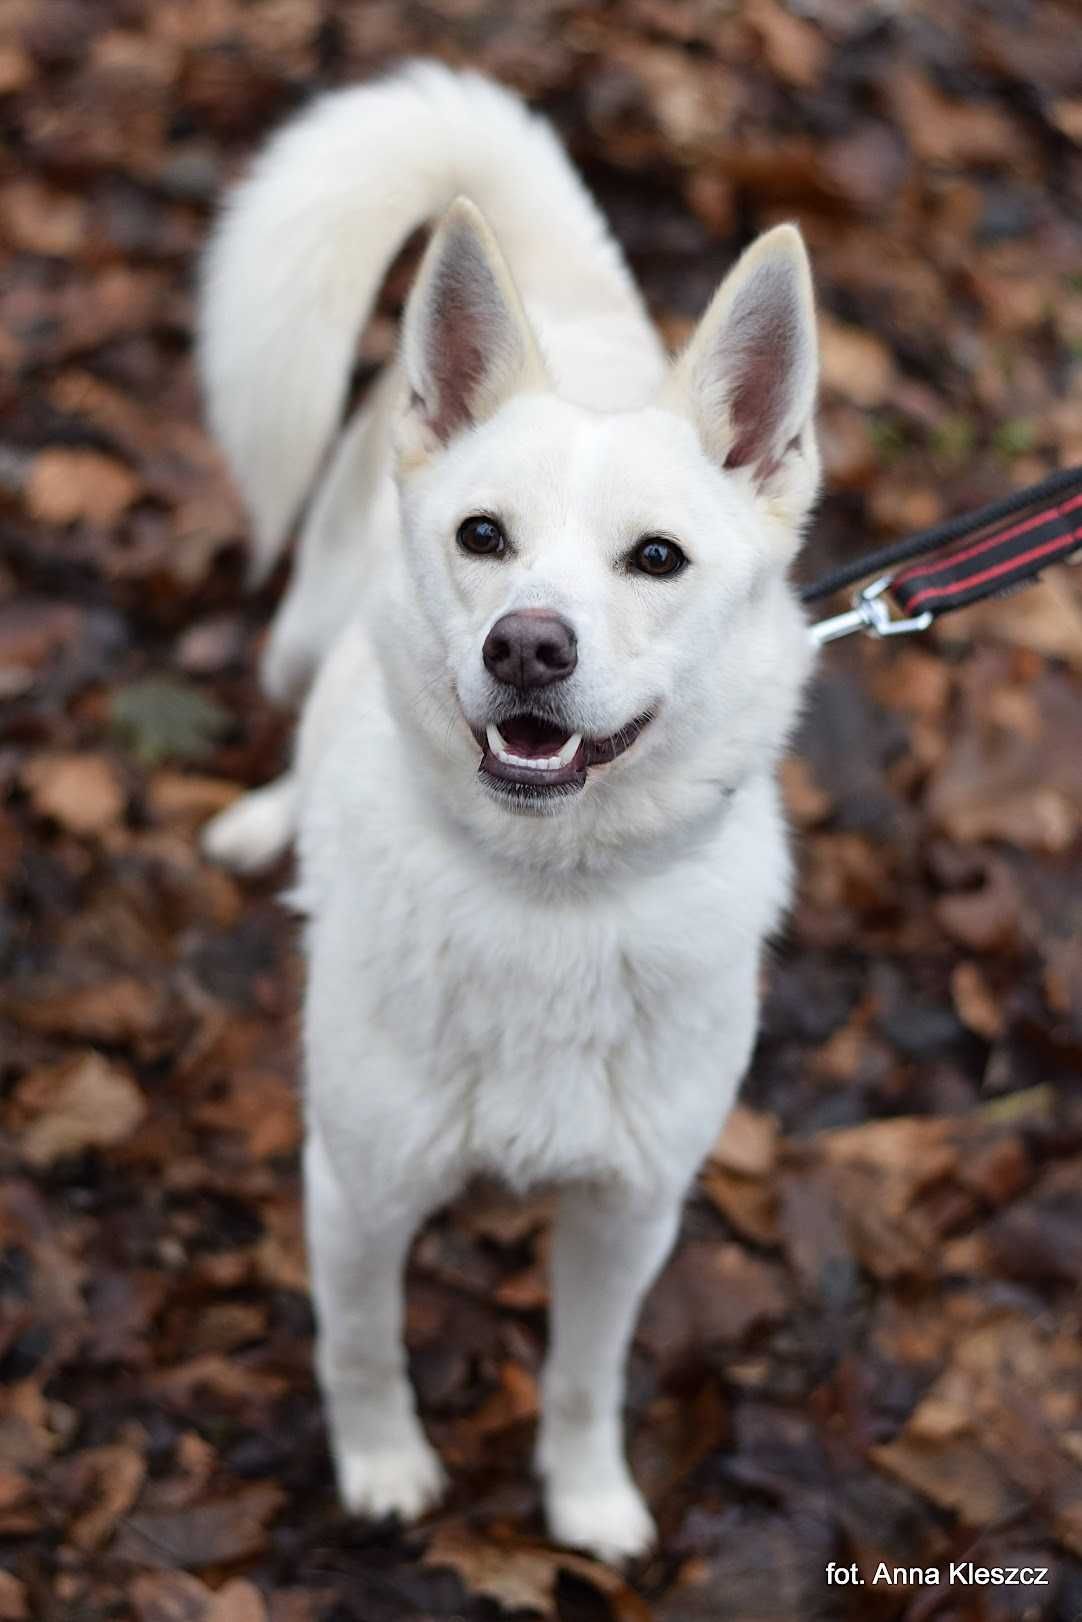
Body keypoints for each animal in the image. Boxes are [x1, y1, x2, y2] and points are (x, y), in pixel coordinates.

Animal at [197, 60, 820, 1557]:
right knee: (306, 716)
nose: (525, 645)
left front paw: (586, 1501)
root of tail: (558, 284)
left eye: (656, 558)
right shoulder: (353, 1190)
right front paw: (382, 1472)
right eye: (484, 535)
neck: (553, 896)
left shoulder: (628, 1214)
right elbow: (361, 1349)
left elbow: (586, 1374)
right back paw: (264, 824)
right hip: (306, 629)